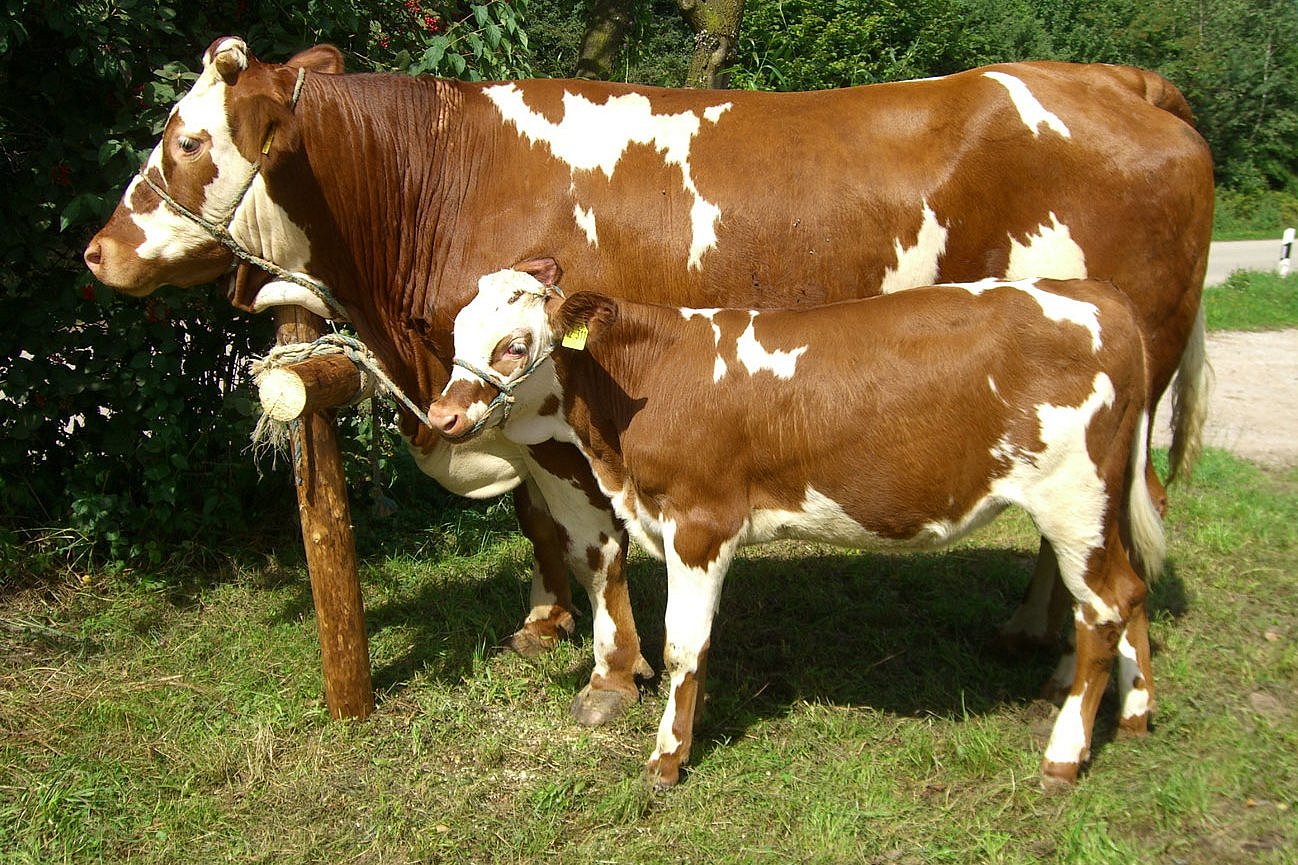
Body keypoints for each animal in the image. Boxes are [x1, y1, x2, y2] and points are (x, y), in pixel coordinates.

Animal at [83, 37, 1214, 722]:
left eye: (186, 140)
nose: (95, 252)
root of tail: (1111, 78)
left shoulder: (550, 411)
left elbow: (591, 541)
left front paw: (607, 671)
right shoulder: (495, 409)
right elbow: (537, 526)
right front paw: (543, 624)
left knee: (1116, 525)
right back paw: (1033, 630)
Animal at [433, 264, 1168, 789]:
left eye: (514, 345)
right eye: (455, 336)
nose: (441, 416)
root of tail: (1100, 295)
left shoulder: (700, 523)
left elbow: (683, 647)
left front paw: (667, 759)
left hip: (1074, 499)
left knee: (1103, 608)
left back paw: (1064, 756)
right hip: (1101, 506)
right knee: (1130, 589)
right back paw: (1134, 713)